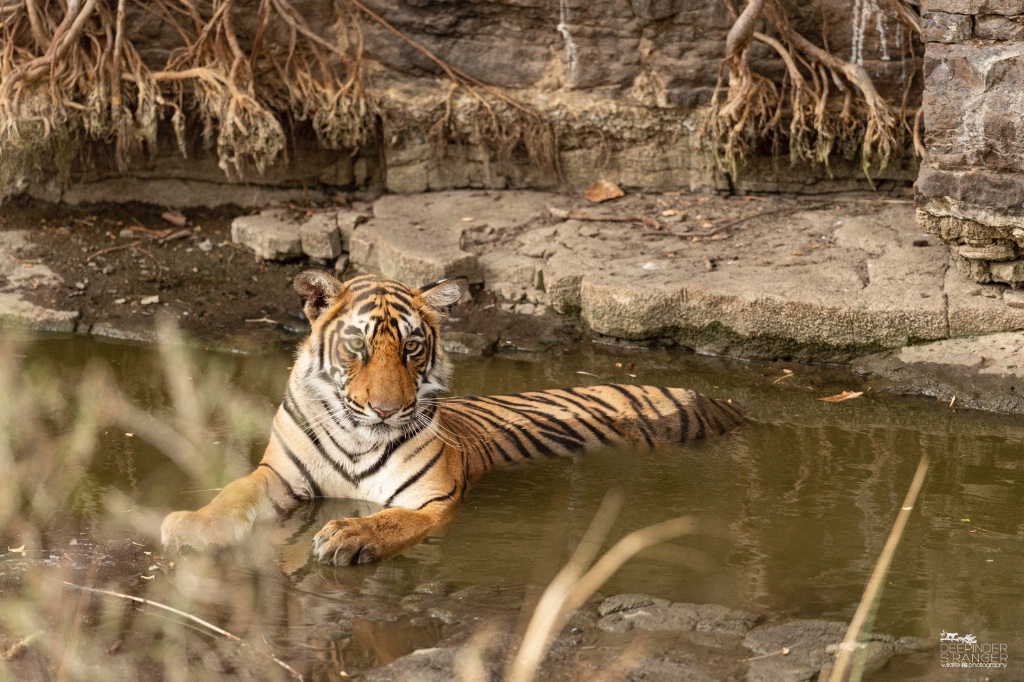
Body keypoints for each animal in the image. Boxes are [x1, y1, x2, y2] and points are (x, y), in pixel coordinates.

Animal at [165, 270, 745, 561]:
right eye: (358, 346)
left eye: (412, 348)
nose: (386, 409)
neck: (358, 435)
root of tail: (725, 401)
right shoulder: (278, 476)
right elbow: (233, 493)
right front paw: (189, 525)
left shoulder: (431, 502)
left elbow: (390, 520)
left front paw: (348, 534)